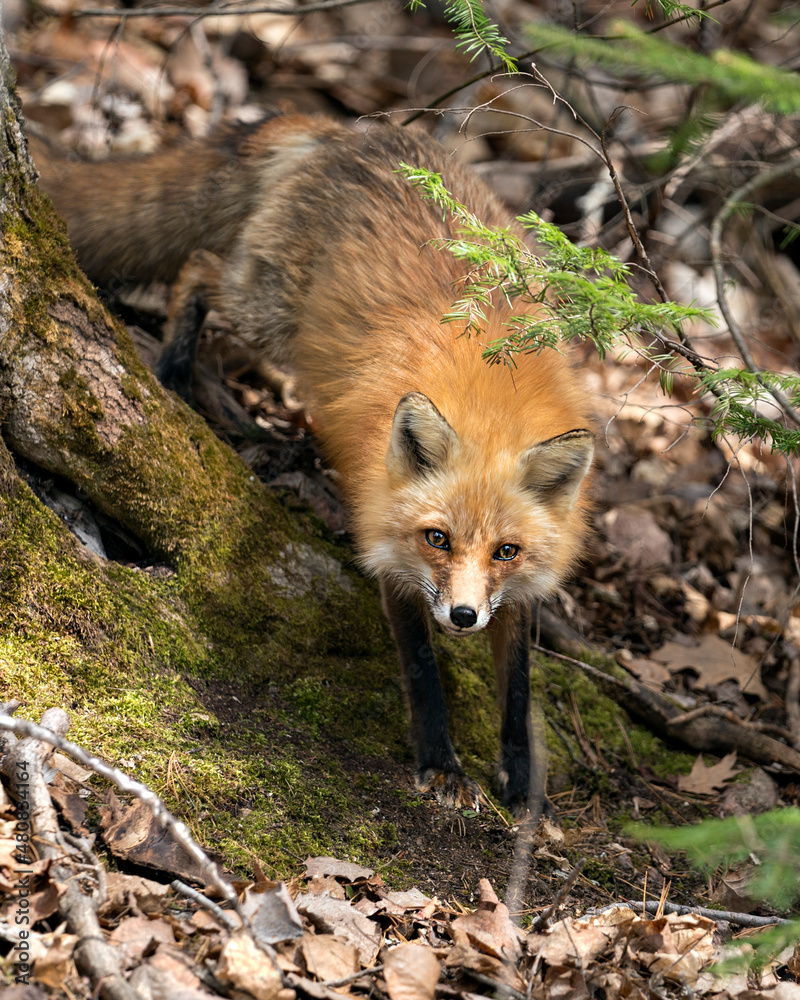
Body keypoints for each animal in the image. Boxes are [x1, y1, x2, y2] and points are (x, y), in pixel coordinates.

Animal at [31, 113, 594, 818]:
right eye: (437, 538)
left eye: (507, 551)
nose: (463, 618)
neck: (495, 404)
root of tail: (345, 130)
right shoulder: (389, 552)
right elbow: (422, 670)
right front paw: (439, 764)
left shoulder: (515, 594)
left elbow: (517, 691)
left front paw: (520, 783)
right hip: (267, 313)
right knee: (198, 270)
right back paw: (174, 369)